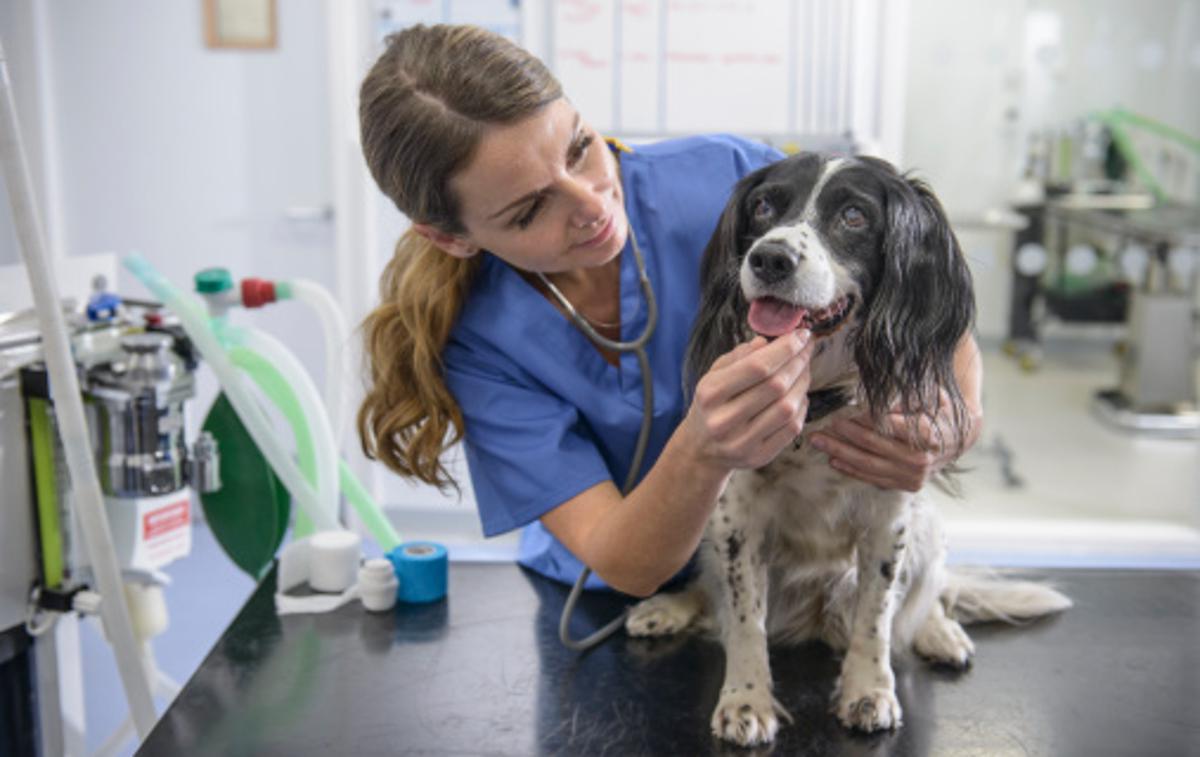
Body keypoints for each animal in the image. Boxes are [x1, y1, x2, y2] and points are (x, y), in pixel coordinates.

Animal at [628, 153, 1070, 748]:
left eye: (855, 216)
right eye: (763, 205)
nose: (769, 257)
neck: (818, 399)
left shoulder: (889, 519)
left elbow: (875, 620)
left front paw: (868, 691)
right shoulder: (737, 518)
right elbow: (744, 622)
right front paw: (746, 700)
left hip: (926, 526)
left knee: (931, 595)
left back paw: (941, 633)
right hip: (709, 532)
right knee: (711, 594)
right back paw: (669, 608)